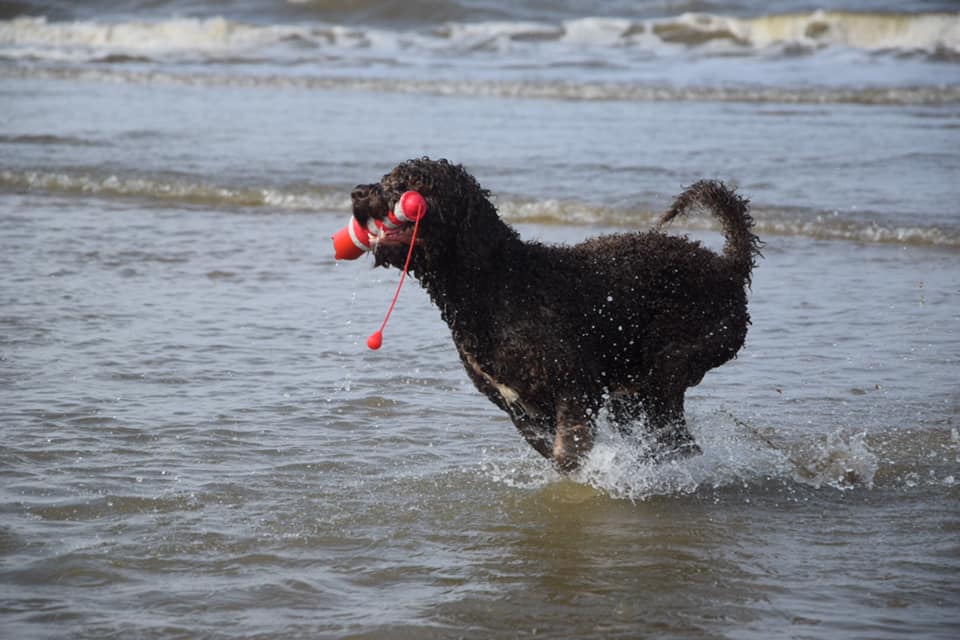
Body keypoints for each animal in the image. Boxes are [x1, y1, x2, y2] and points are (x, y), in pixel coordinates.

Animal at [348, 158, 760, 472]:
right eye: (387, 178)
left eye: (409, 185)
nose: (357, 193)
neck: (494, 283)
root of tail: (729, 268)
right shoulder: (519, 407)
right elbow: (550, 447)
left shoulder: (575, 385)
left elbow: (568, 449)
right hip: (633, 391)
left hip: (669, 367)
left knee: (676, 438)